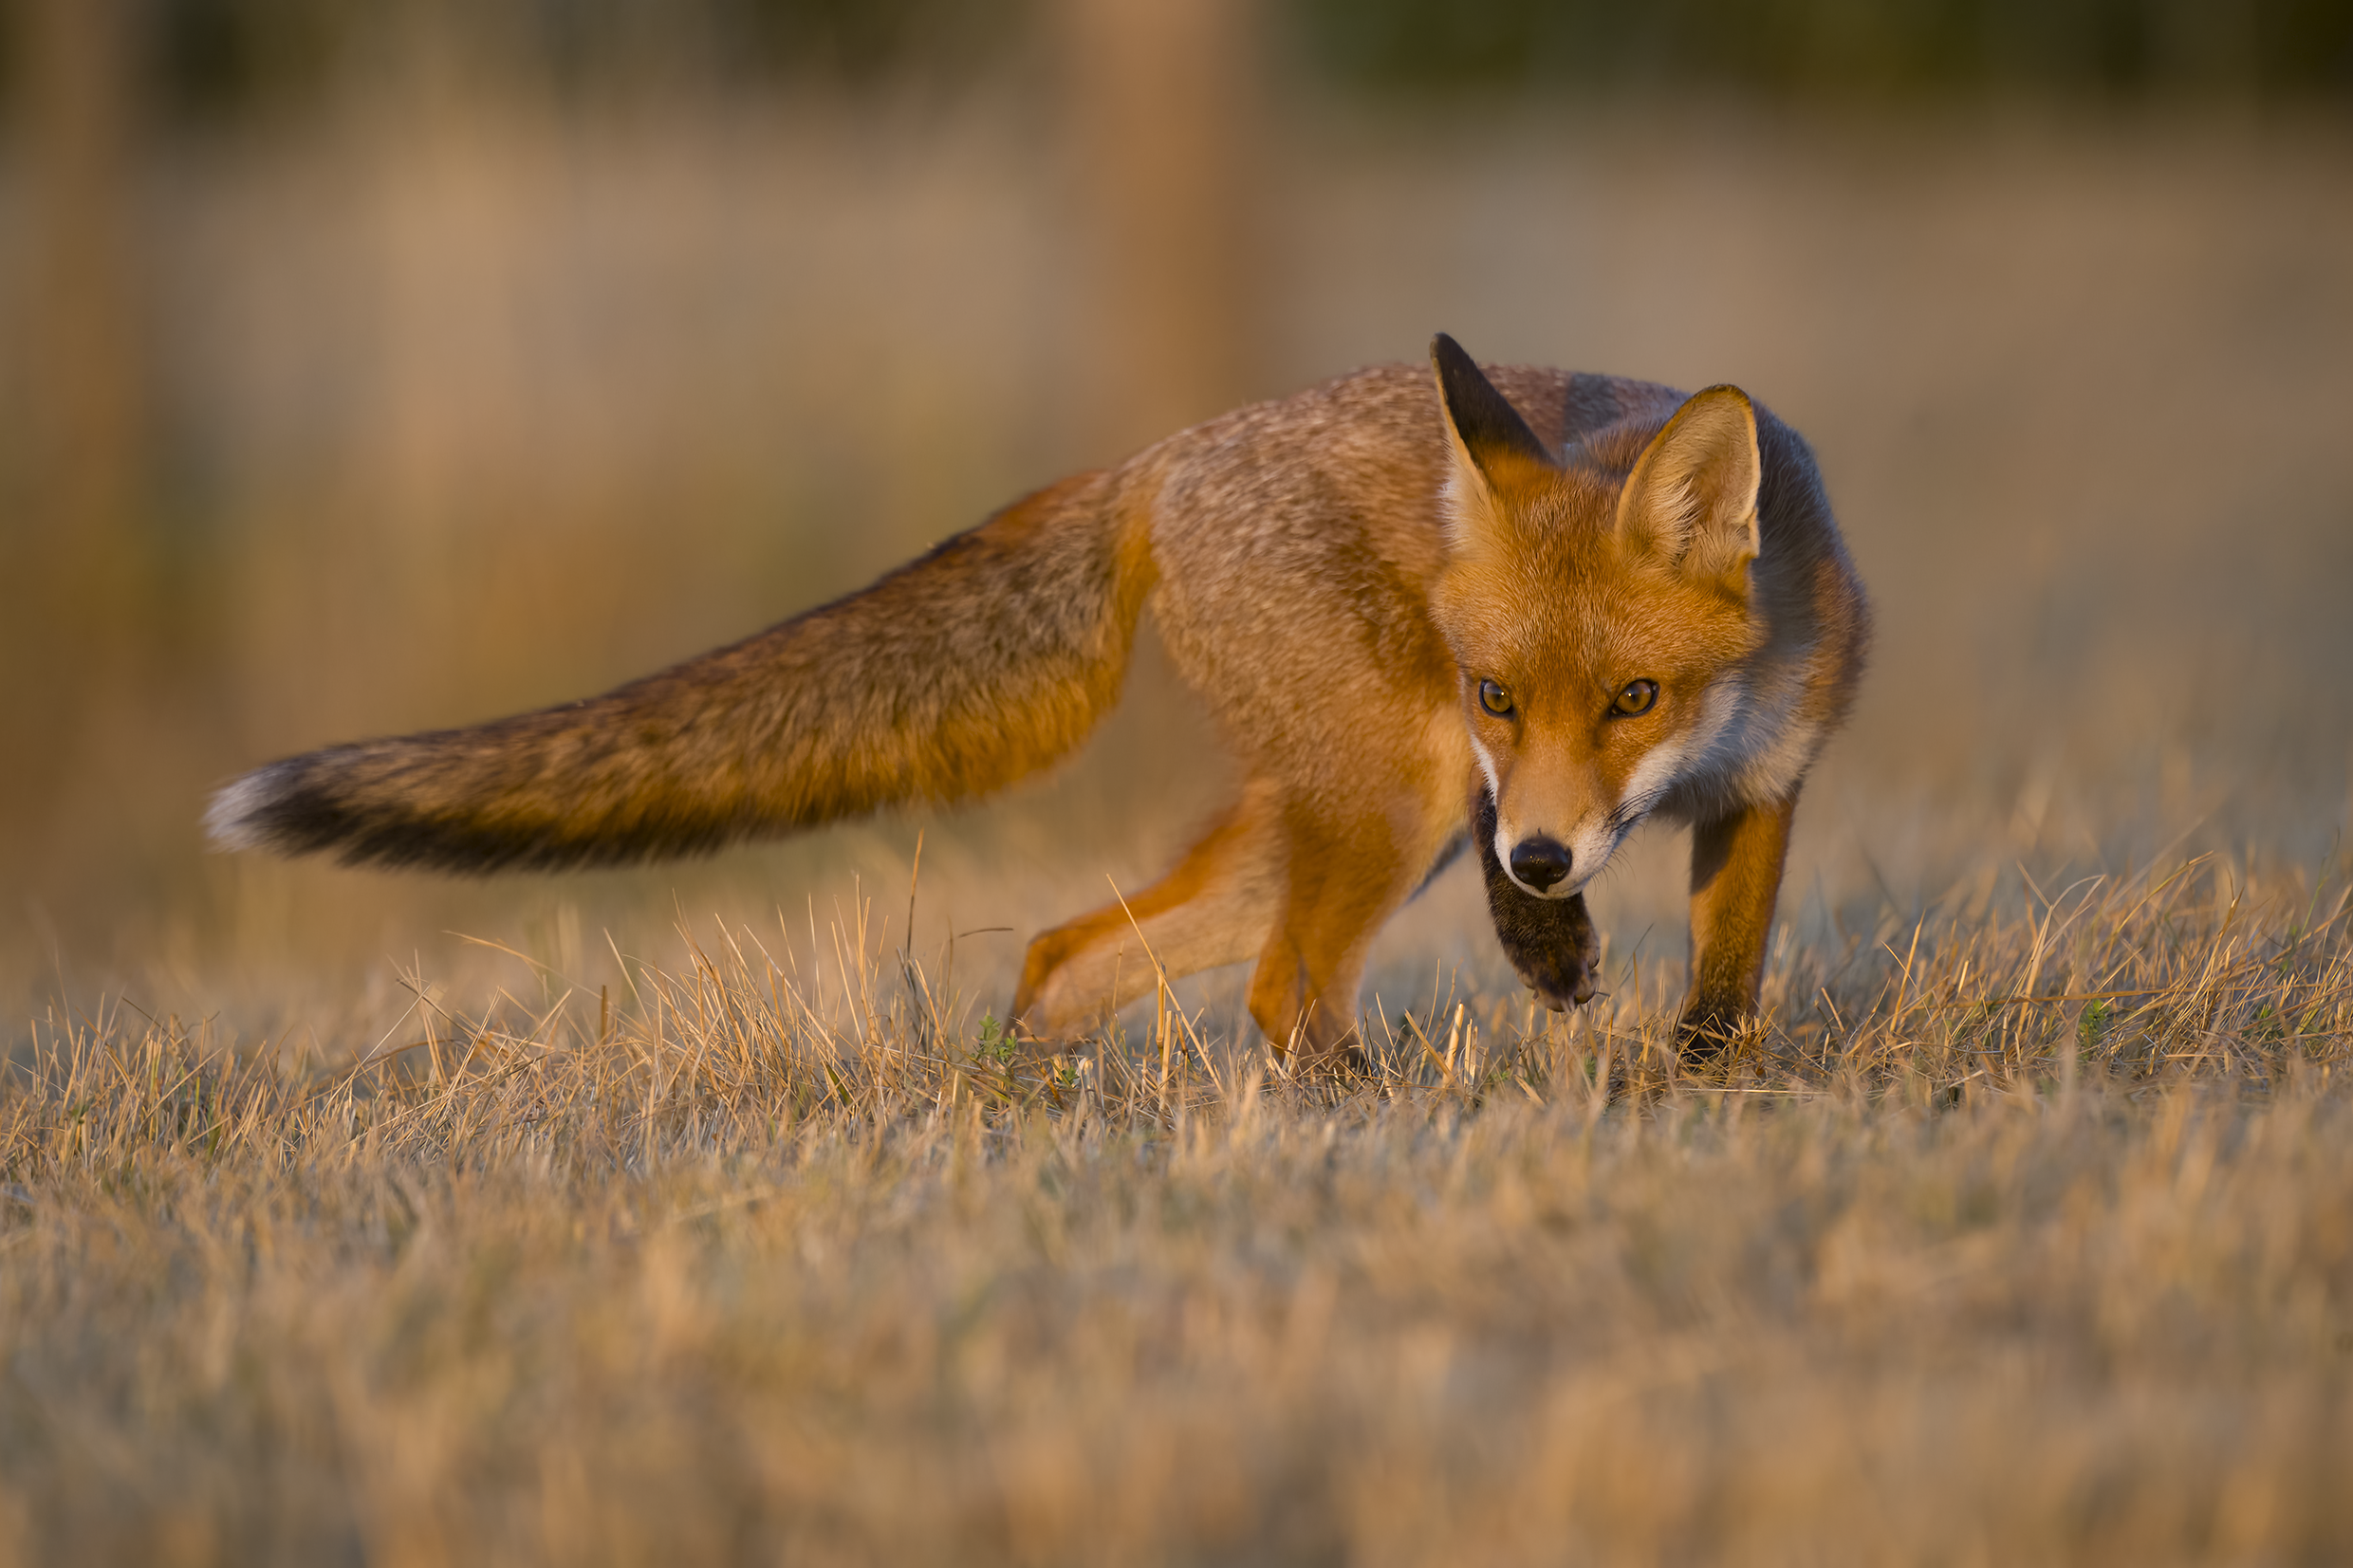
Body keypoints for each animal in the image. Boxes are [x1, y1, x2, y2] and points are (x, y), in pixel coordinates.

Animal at [208, 336, 1869, 1070]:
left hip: (1319, 829)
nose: (1537, 856)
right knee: (1281, 991)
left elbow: (1727, 984)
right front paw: (1554, 956)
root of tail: (1158, 461)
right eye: (1499, 693)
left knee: (1072, 956)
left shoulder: (1771, 785)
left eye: (1637, 696)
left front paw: (1701, 1084)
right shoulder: (1470, 773)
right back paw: (1367, 1113)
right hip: (1387, 802)